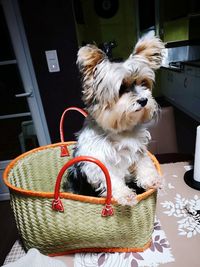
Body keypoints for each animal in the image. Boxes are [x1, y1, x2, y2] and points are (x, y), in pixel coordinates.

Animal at [65, 36, 165, 207]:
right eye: (122, 88)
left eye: (143, 83)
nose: (144, 100)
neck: (121, 131)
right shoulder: (98, 163)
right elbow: (111, 180)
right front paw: (125, 195)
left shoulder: (138, 151)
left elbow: (144, 164)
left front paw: (152, 179)